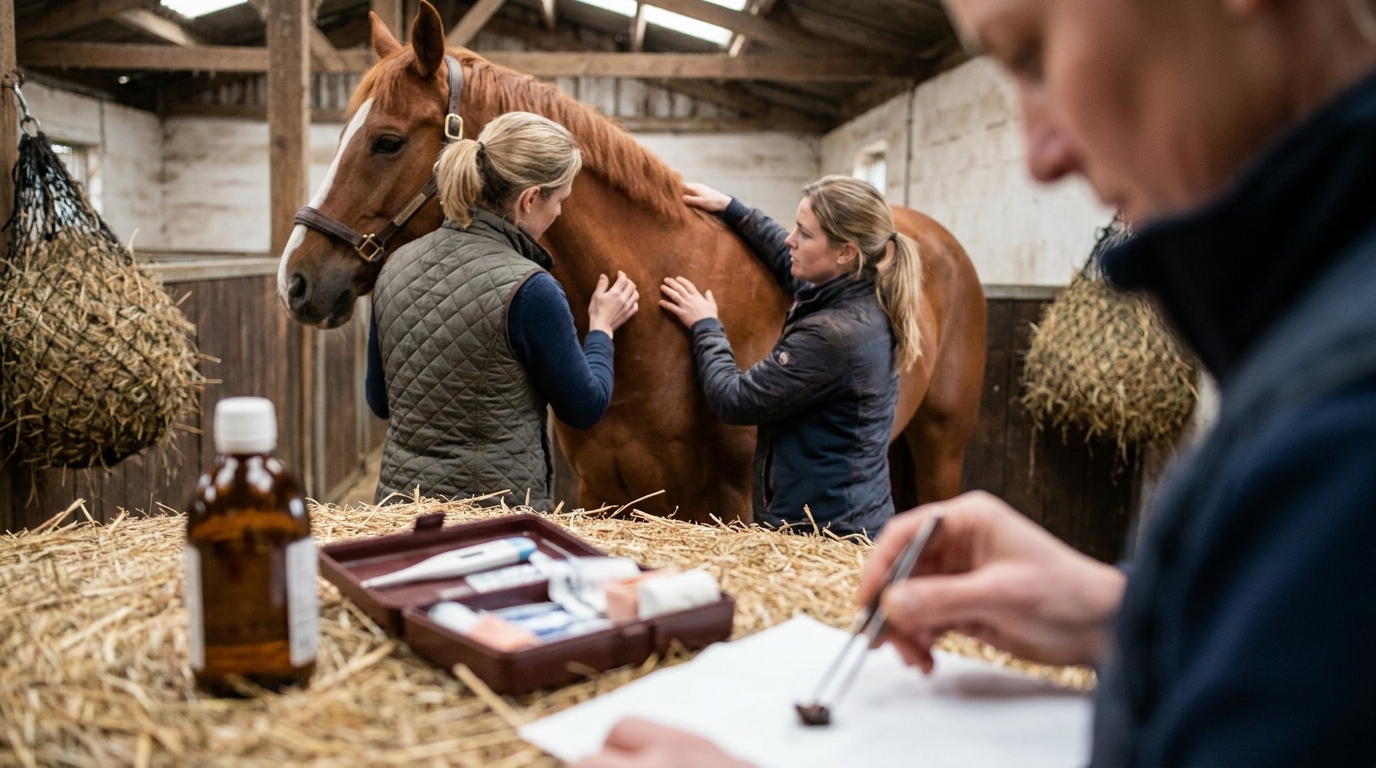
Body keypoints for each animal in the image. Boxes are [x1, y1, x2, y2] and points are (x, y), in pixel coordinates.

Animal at [278, 1, 987, 524]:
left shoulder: (729, 509)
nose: (296, 280)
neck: (653, 330)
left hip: (943, 446)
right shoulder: (604, 497)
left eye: (386, 141)